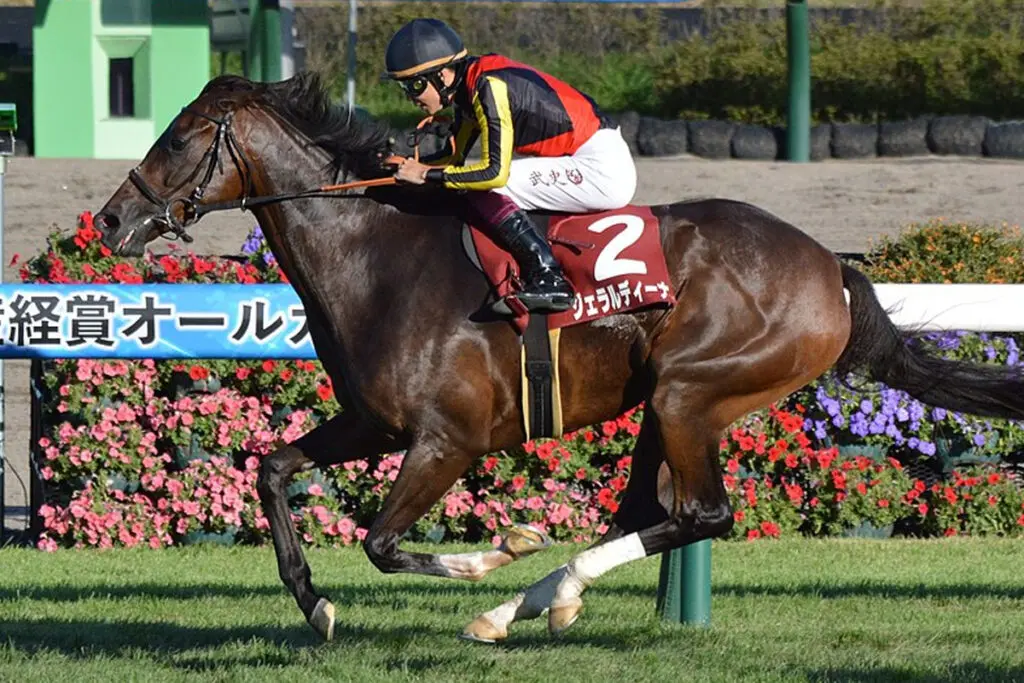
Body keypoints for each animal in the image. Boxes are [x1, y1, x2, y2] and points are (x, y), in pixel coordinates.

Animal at [92, 72, 1024, 644]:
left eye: (175, 138)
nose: (109, 220)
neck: (376, 254)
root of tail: (831, 267)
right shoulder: (371, 422)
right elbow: (272, 469)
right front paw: (314, 603)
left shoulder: (448, 439)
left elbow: (384, 541)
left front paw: (494, 550)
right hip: (667, 400)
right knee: (652, 511)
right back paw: (530, 604)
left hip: (694, 392)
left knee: (703, 513)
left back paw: (527, 593)